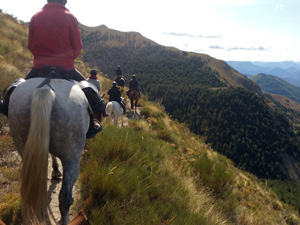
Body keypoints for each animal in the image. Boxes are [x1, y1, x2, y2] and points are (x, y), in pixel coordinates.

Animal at [8, 78, 89, 225]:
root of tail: (45, 88)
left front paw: (55, 170)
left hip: (21, 140)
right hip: (72, 158)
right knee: (64, 196)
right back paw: (65, 218)